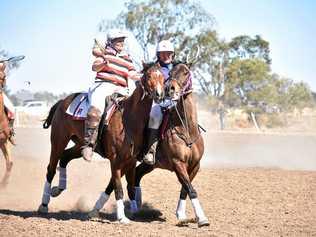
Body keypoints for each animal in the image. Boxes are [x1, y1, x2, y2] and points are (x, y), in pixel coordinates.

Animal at [38, 61, 164, 224]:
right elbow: (118, 188)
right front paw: (122, 217)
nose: (159, 94)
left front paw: (133, 212)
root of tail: (62, 102)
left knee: (65, 157)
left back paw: (57, 190)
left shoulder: (131, 160)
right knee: (51, 169)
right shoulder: (115, 161)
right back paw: (44, 204)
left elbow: (130, 187)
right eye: (148, 76)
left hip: (80, 144)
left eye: (163, 77)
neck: (129, 119)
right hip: (58, 140)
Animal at [131, 63, 209, 228]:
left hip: (150, 165)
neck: (186, 129)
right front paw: (202, 218)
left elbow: (185, 189)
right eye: (171, 73)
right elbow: (190, 188)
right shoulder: (178, 162)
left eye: (186, 72)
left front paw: (181, 215)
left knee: (137, 174)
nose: (170, 89)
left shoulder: (195, 165)